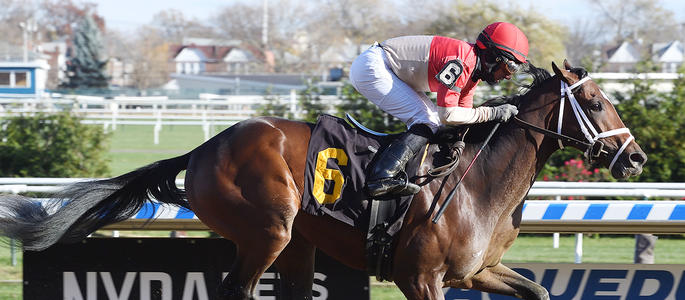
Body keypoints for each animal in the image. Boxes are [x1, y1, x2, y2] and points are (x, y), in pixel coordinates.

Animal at [0, 59, 648, 298]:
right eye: (594, 99)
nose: (636, 159)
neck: (479, 183)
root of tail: (206, 146)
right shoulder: (420, 278)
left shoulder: (475, 272)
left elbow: (539, 290)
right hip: (269, 230)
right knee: (236, 288)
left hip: (298, 246)